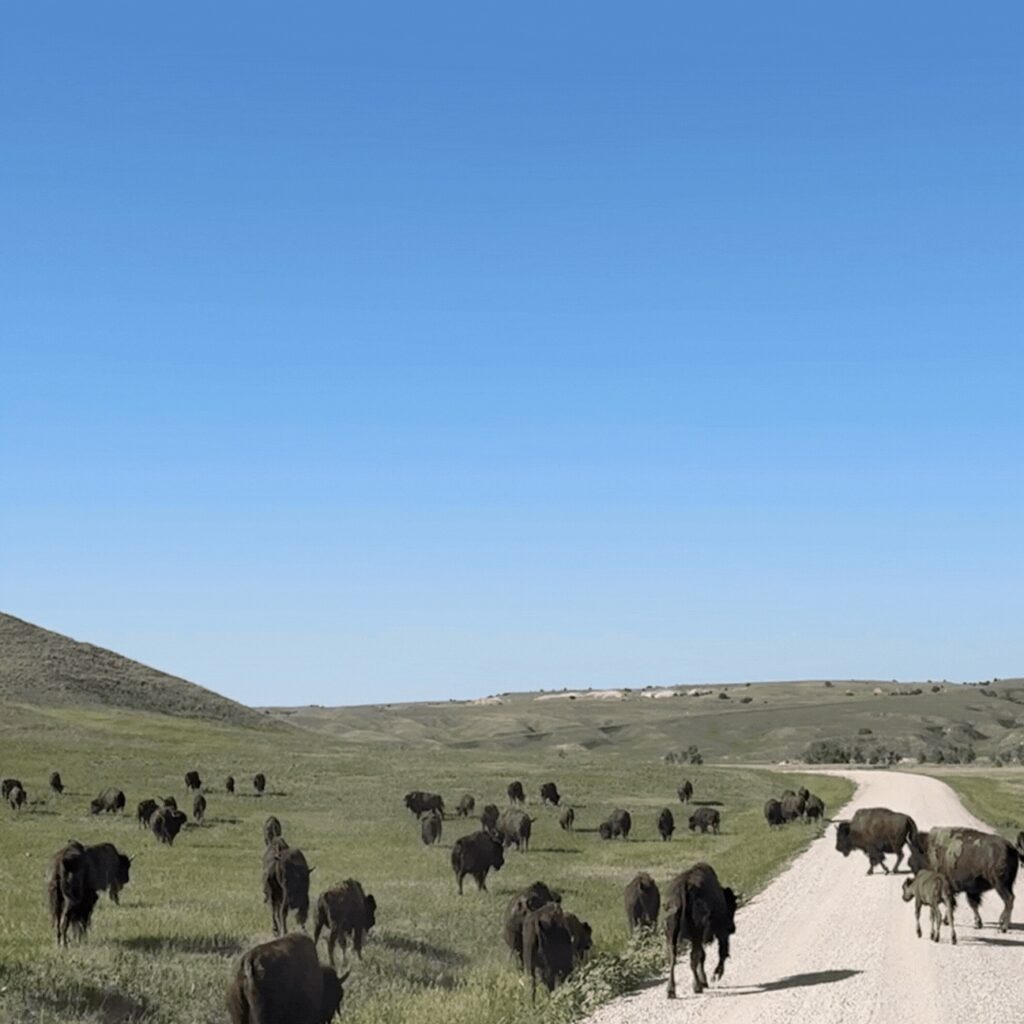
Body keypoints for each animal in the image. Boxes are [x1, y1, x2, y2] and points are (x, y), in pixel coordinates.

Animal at [664, 862, 737, 997]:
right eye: (733, 907)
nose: (732, 928)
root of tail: (685, 886)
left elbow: (703, 956)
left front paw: (705, 981)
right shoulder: (720, 932)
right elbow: (721, 952)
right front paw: (712, 977)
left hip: (672, 933)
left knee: (673, 957)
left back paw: (671, 991)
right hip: (697, 933)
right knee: (694, 957)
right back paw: (697, 986)